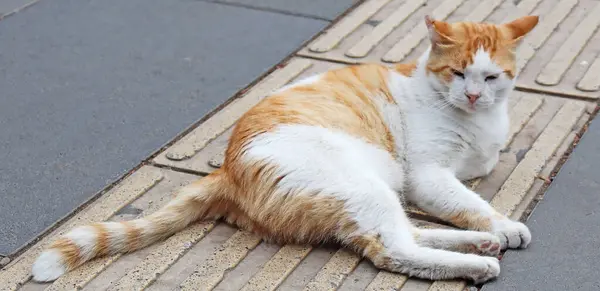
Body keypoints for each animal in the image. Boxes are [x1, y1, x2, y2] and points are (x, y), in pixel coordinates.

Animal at [30, 14, 540, 286]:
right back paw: (478, 260)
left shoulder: (468, 167)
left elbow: (467, 193)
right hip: (359, 186)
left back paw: (476, 245)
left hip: (365, 193)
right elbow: (470, 202)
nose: (472, 96)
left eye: (490, 77)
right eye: (458, 73)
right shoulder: (429, 174)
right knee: (392, 248)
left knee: (403, 233)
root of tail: (227, 169)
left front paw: (490, 227)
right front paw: (502, 224)